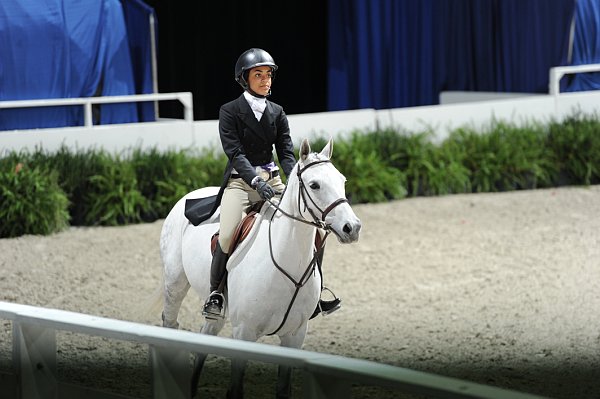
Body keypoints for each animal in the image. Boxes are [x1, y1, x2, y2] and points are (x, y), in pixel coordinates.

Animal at [158, 139, 360, 398]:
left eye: (342, 181)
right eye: (314, 185)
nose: (352, 228)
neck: (286, 264)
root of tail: (192, 195)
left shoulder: (295, 335)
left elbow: (283, 390)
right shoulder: (244, 332)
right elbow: (235, 390)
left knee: (207, 333)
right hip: (175, 282)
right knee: (170, 322)